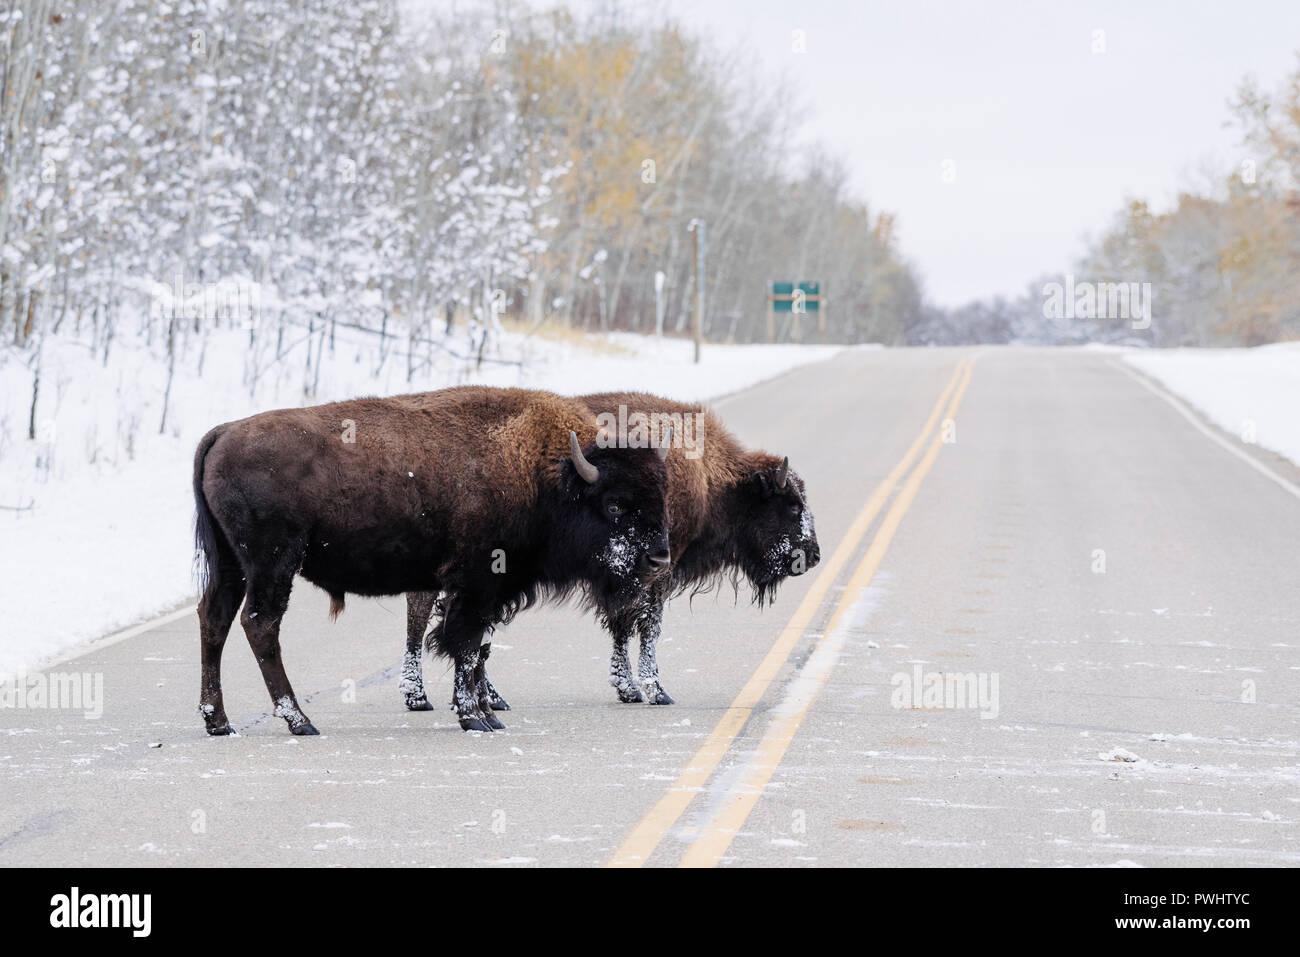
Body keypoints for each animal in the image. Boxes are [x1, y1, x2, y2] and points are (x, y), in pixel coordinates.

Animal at [193, 386, 671, 734]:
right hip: (273, 565)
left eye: (662, 498)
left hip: (232, 565)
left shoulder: (491, 591)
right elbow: (465, 644)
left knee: (215, 618)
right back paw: (300, 721)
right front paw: (474, 717)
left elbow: (478, 648)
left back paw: (219, 722)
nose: (658, 558)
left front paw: (488, 714)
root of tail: (223, 432)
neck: (547, 472)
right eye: (614, 504)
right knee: (260, 625)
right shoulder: (477, 583)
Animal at [399, 392, 819, 711]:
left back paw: (426, 697)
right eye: (791, 505)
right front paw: (655, 691)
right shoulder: (656, 572)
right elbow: (647, 626)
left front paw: (628, 688)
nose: (813, 555)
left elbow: (622, 626)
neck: (712, 477)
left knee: (426, 619)